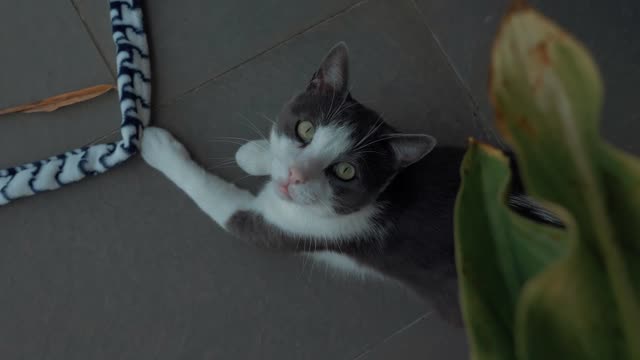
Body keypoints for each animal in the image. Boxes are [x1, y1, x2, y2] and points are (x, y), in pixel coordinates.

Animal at [141, 42, 560, 326]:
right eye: (305, 129)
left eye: (345, 172)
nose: (295, 176)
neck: (385, 194)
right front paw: (257, 154)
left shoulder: (296, 228)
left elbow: (218, 199)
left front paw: (157, 146)